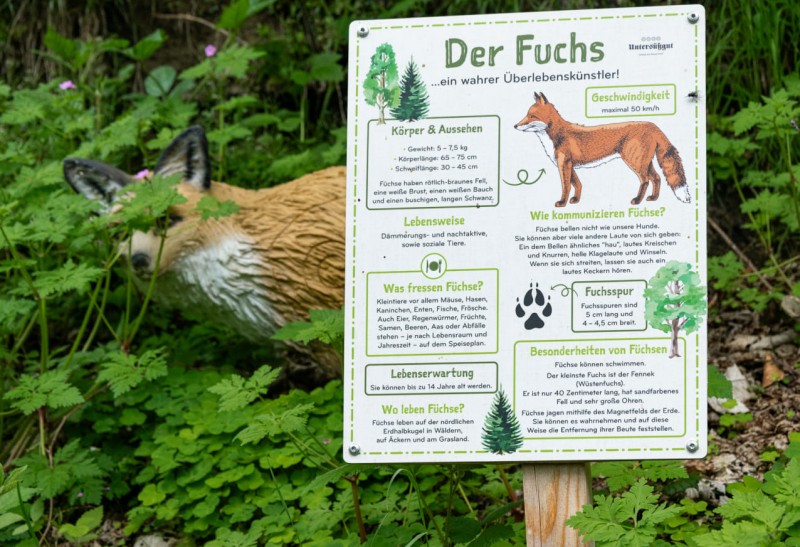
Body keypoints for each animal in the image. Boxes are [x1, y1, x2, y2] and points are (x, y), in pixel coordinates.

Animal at [514, 92, 691, 207]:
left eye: (532, 116)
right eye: (526, 114)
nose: (515, 125)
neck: (557, 134)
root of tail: (653, 125)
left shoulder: (564, 163)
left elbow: (566, 186)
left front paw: (562, 203)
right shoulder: (570, 165)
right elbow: (577, 184)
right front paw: (576, 201)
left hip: (635, 162)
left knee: (646, 180)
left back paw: (637, 200)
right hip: (645, 163)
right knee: (657, 178)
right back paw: (653, 198)